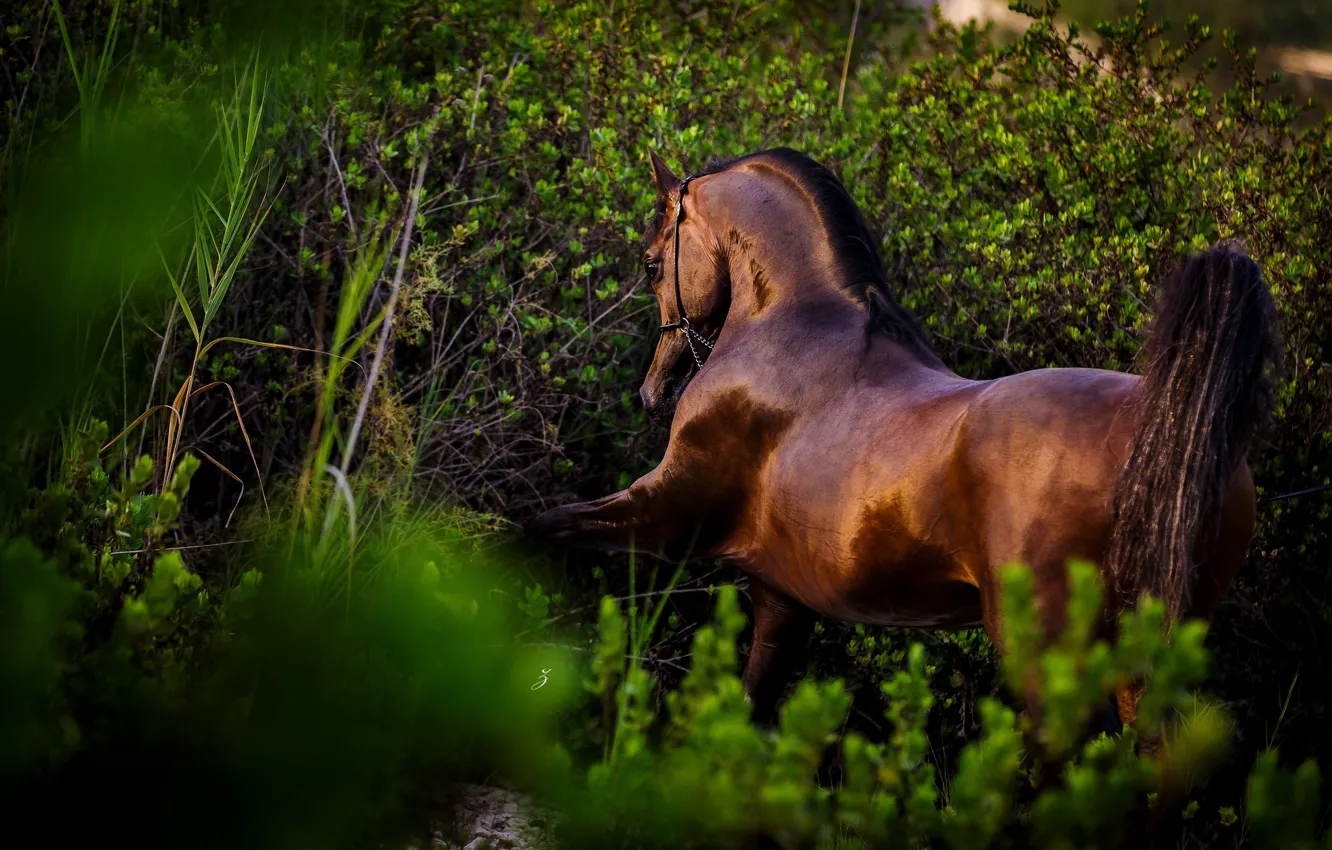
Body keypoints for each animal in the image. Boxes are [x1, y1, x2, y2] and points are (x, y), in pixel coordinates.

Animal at [527, 146, 1278, 735]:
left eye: (653, 264)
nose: (653, 392)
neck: (789, 330)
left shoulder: (665, 515)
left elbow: (546, 524)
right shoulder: (781, 598)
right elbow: (748, 703)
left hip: (1049, 658)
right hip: (1148, 657)